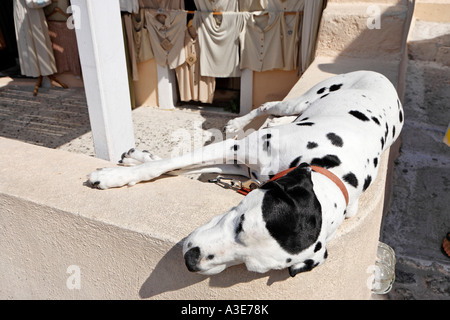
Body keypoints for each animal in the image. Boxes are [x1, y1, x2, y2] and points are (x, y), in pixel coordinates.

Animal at [88, 71, 404, 276]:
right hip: (302, 100)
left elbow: (176, 167)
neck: (328, 168)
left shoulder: (239, 165)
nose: (191, 260)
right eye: (240, 223)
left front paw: (135, 161)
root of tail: (383, 77)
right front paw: (116, 174)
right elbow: (166, 164)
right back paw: (240, 121)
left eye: (250, 266)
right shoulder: (237, 147)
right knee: (269, 105)